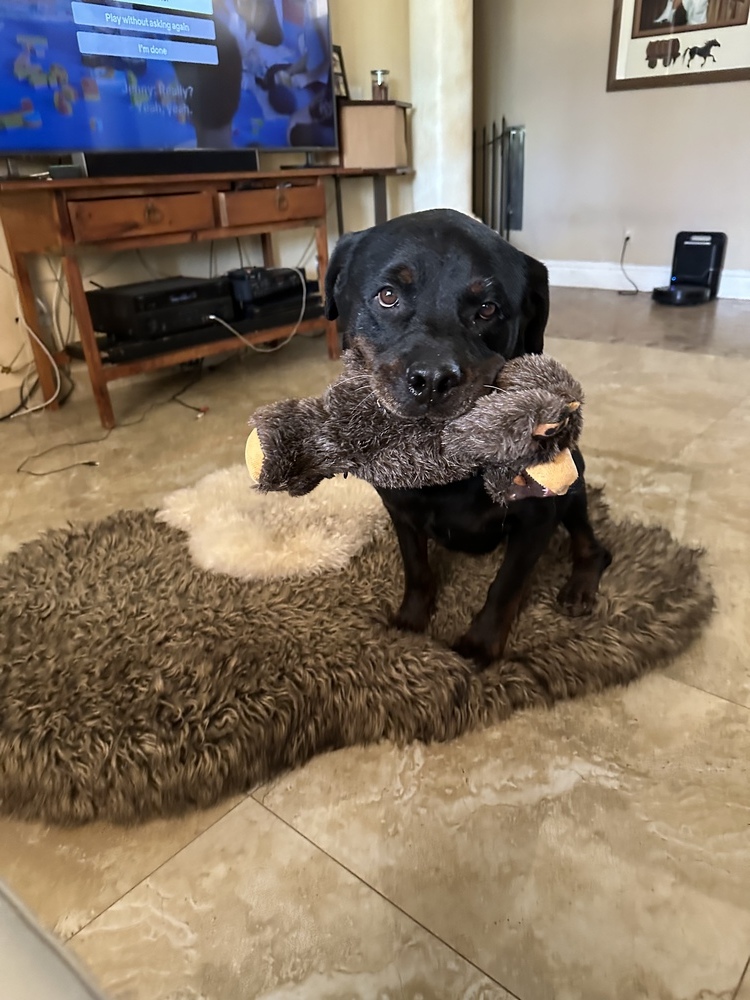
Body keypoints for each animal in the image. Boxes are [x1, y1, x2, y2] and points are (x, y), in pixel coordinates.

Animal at [324, 207, 612, 668]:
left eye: (488, 309)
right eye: (387, 296)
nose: (432, 378)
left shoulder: (536, 518)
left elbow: (506, 586)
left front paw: (480, 647)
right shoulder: (399, 509)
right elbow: (417, 569)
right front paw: (409, 625)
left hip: (573, 480)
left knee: (592, 545)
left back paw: (580, 587)